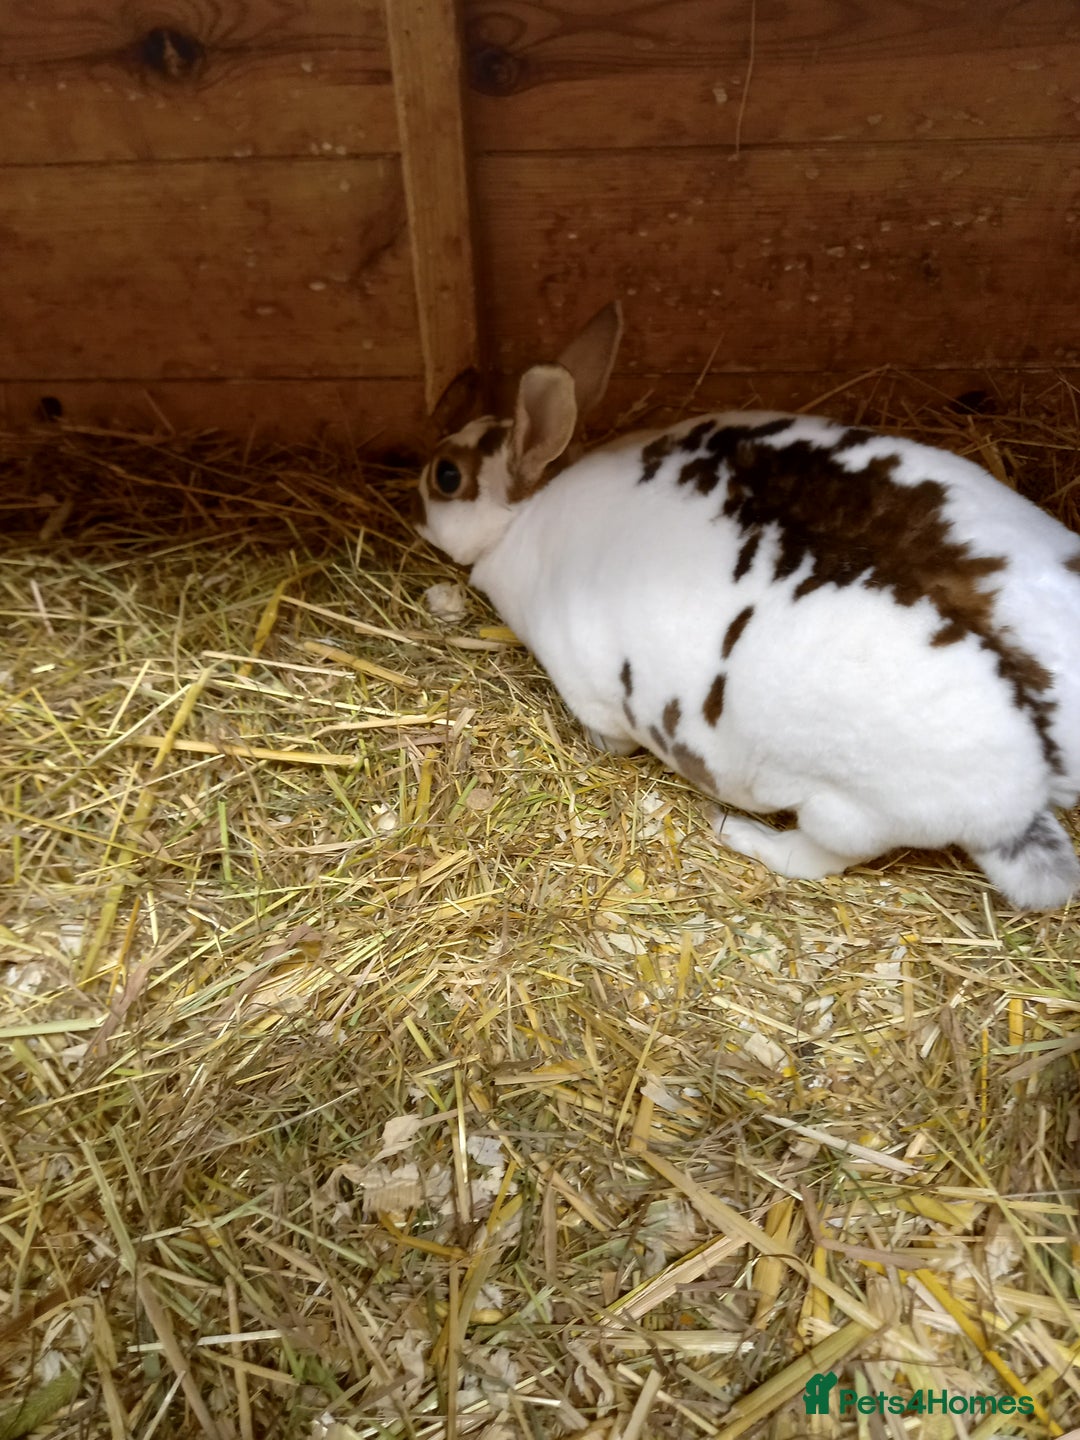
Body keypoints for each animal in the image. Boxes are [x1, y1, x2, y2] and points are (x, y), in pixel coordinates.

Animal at [415, 302, 1080, 911]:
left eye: (446, 476)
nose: (416, 507)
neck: (527, 512)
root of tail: (1027, 785)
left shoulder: (592, 693)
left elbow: (609, 739)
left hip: (847, 811)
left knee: (816, 858)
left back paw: (740, 833)